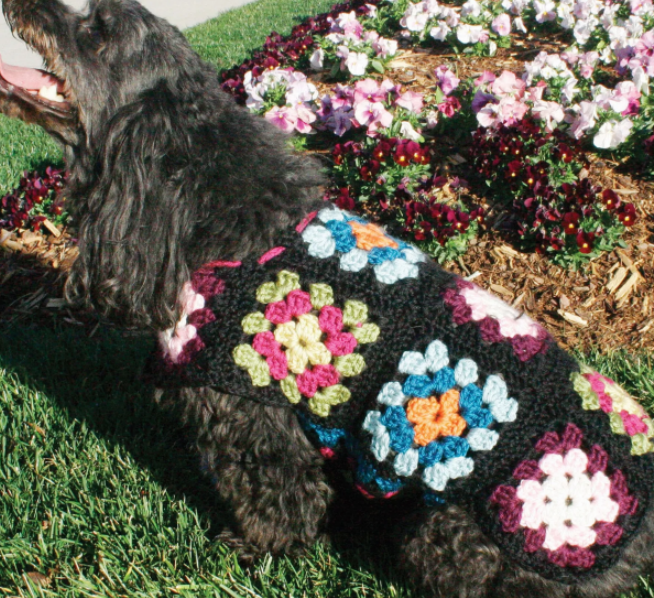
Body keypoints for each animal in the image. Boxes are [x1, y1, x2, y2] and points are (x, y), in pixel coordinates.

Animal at [2, 1, 652, 598]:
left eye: (96, 28)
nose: (24, 3)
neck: (204, 201)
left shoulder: (251, 412)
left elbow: (278, 493)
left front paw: (260, 548)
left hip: (445, 533)